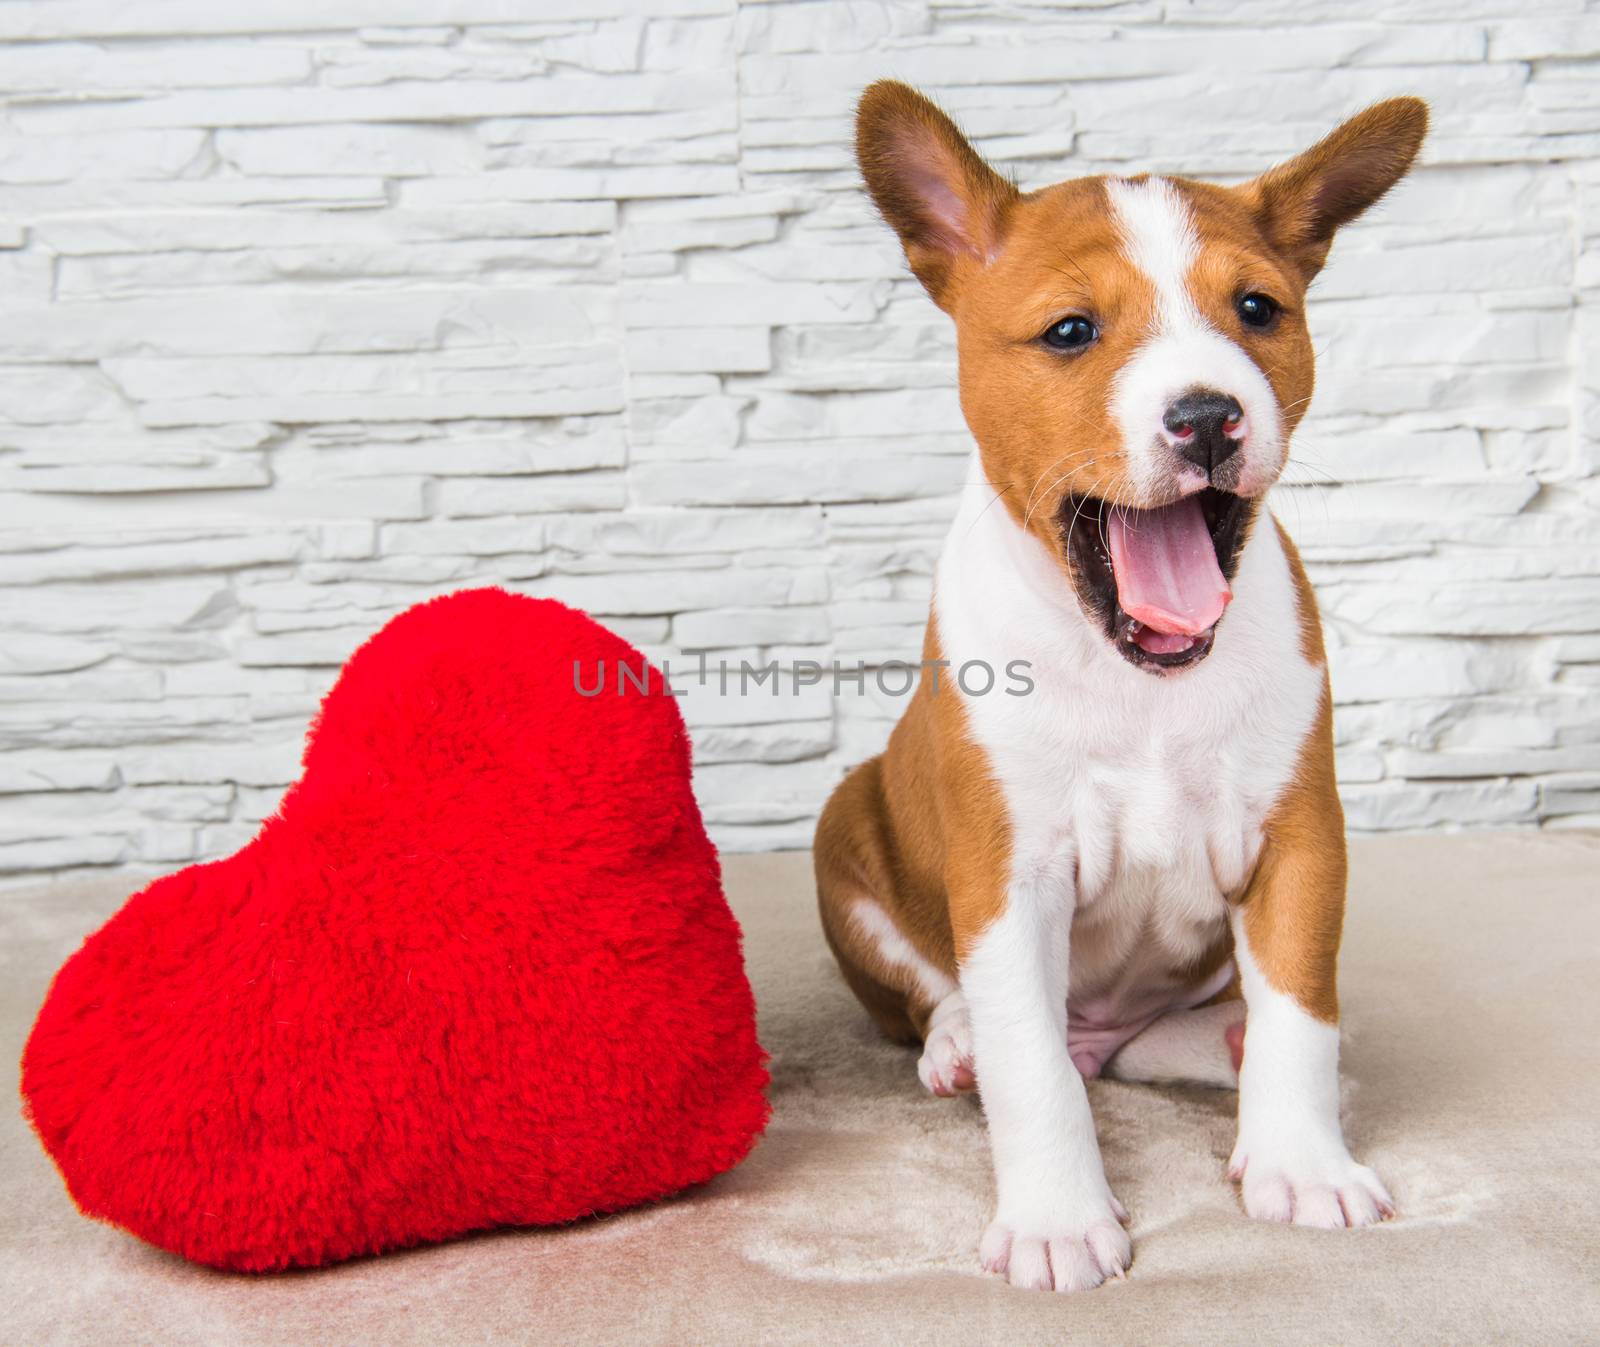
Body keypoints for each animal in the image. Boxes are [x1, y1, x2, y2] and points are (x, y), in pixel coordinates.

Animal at [812, 83, 1427, 1292]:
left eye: (1258, 310)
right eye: (1070, 332)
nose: (1207, 415)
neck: (1139, 676)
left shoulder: (1300, 840)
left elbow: (1300, 1012)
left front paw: (1302, 1162)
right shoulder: (1009, 872)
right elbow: (1031, 1068)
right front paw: (1056, 1218)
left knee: (1180, 1037)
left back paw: (1219, 1041)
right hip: (847, 825)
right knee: (966, 1009)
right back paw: (958, 1045)